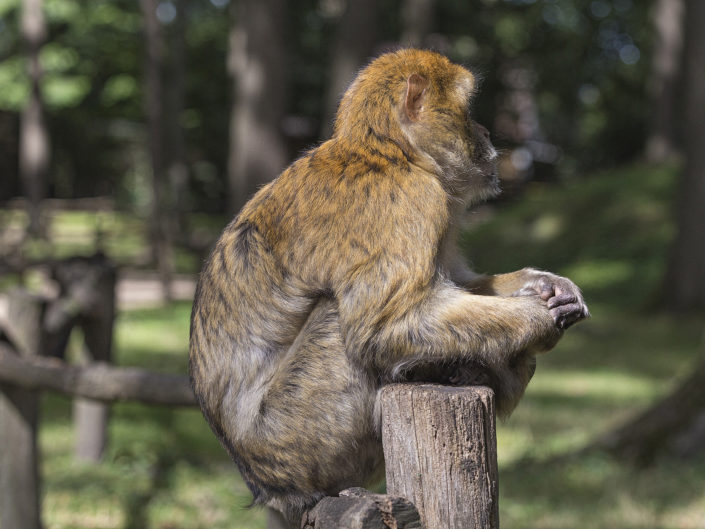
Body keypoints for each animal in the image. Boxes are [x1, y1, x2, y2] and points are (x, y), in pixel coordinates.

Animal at [189, 49, 589, 526]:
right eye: (468, 109)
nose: (487, 131)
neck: (393, 153)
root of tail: (270, 489)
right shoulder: (410, 198)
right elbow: (386, 324)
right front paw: (538, 319)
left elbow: (456, 283)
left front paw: (546, 286)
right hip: (300, 437)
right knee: (339, 321)